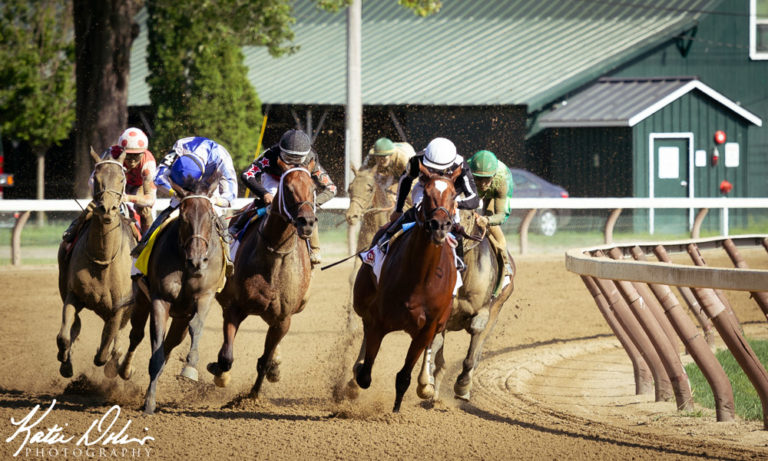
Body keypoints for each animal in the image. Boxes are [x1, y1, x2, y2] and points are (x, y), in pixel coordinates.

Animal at [56, 149, 137, 380]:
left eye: (121, 179)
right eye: (97, 178)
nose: (107, 208)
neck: (103, 262)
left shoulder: (120, 307)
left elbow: (104, 350)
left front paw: (110, 361)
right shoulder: (73, 295)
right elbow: (65, 335)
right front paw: (65, 362)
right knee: (75, 327)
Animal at [118, 180, 224, 414]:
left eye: (210, 216)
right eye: (184, 217)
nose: (197, 261)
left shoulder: (205, 295)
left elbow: (196, 325)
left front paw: (190, 367)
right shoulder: (160, 300)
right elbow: (155, 350)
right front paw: (149, 403)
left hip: (180, 320)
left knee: (169, 344)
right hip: (142, 301)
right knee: (136, 335)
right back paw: (123, 370)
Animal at [206, 156, 316, 398]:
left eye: (313, 188)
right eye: (288, 188)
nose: (307, 222)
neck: (275, 254)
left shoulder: (283, 318)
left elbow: (264, 361)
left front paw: (253, 397)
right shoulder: (235, 308)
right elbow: (226, 357)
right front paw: (219, 373)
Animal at [348, 164, 462, 412]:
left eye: (453, 195)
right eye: (427, 193)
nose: (440, 226)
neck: (422, 276)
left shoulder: (426, 328)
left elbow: (403, 377)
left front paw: (395, 411)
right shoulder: (379, 320)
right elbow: (365, 374)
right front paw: (358, 371)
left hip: (441, 320)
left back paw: (426, 383)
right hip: (362, 299)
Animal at [414, 210, 516, 400]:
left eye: (468, 216)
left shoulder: (484, 312)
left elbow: (475, 337)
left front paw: (462, 385)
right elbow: (435, 343)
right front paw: (427, 382)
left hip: (497, 308)